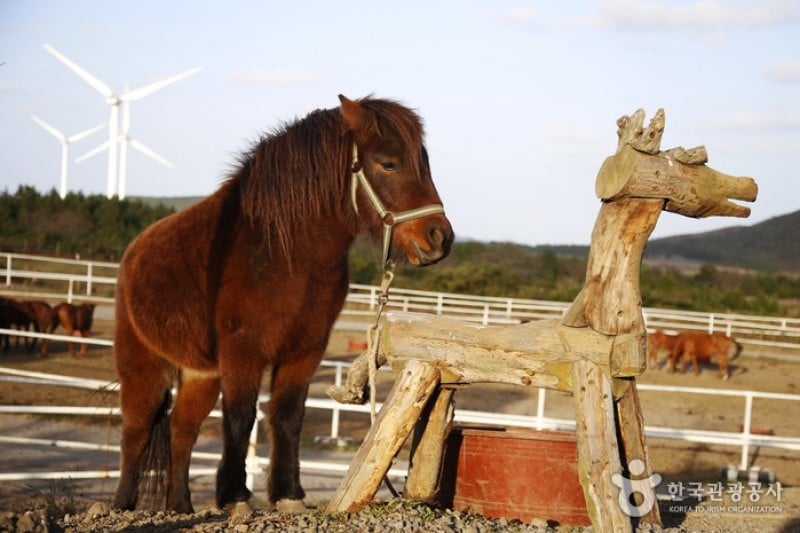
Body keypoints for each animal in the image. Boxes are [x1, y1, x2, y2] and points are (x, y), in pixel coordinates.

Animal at [113, 95, 454, 514]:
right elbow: (240, 418)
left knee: (182, 431)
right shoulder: (243, 351)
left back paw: (181, 508)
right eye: (388, 163)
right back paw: (121, 504)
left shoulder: (305, 351)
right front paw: (235, 496)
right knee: (136, 431)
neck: (284, 253)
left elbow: (288, 417)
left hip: (200, 375)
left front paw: (288, 493)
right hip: (142, 363)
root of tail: (134, 251)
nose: (439, 238)